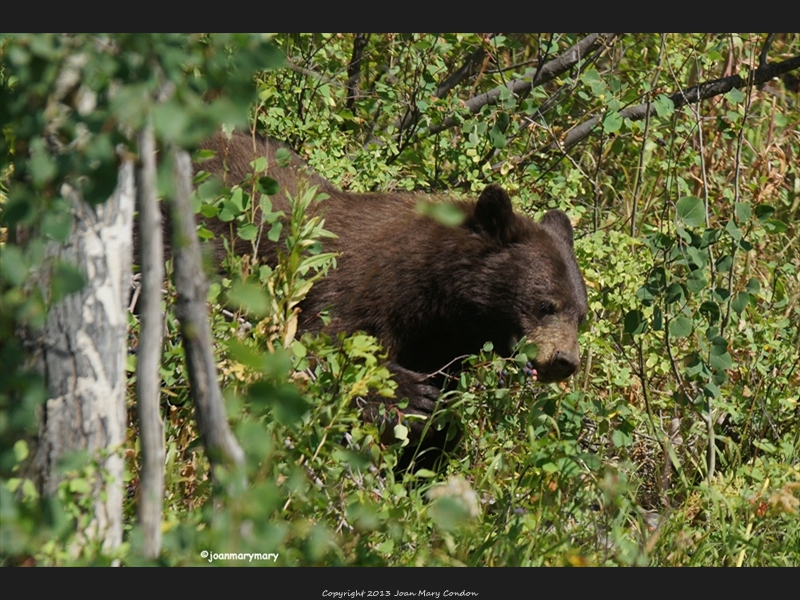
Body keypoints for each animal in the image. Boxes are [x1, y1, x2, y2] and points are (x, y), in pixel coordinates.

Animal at [198, 132, 592, 454]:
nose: (564, 361)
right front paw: (412, 396)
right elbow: (323, 346)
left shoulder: (443, 343)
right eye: (546, 305)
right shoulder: (350, 289)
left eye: (581, 316)